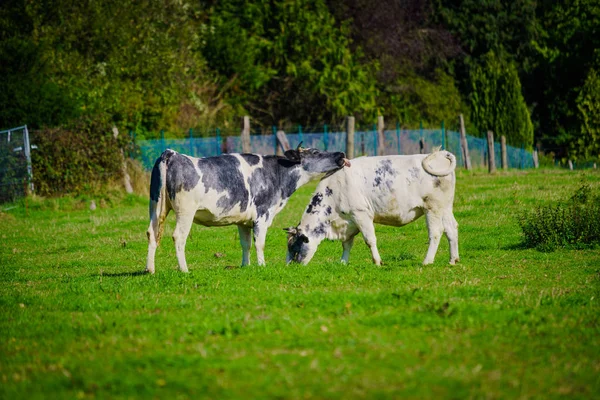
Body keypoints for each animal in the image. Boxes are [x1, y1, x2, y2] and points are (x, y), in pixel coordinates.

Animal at [146, 145, 352, 274]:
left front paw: (246, 266)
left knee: (152, 234)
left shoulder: (243, 220)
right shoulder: (262, 215)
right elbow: (259, 243)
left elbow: (245, 244)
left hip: (155, 207)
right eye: (316, 152)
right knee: (179, 236)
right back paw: (184, 269)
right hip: (185, 211)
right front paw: (262, 265)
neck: (277, 175)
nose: (341, 154)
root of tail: (171, 154)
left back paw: (150, 269)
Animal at [286, 152, 460, 268]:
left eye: (294, 246)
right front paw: (343, 262)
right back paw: (453, 260)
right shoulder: (348, 222)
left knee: (436, 232)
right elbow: (346, 244)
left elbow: (370, 240)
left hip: (432, 208)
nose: (293, 266)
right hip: (445, 208)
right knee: (451, 229)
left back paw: (427, 261)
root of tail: (440, 155)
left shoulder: (361, 215)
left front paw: (377, 262)